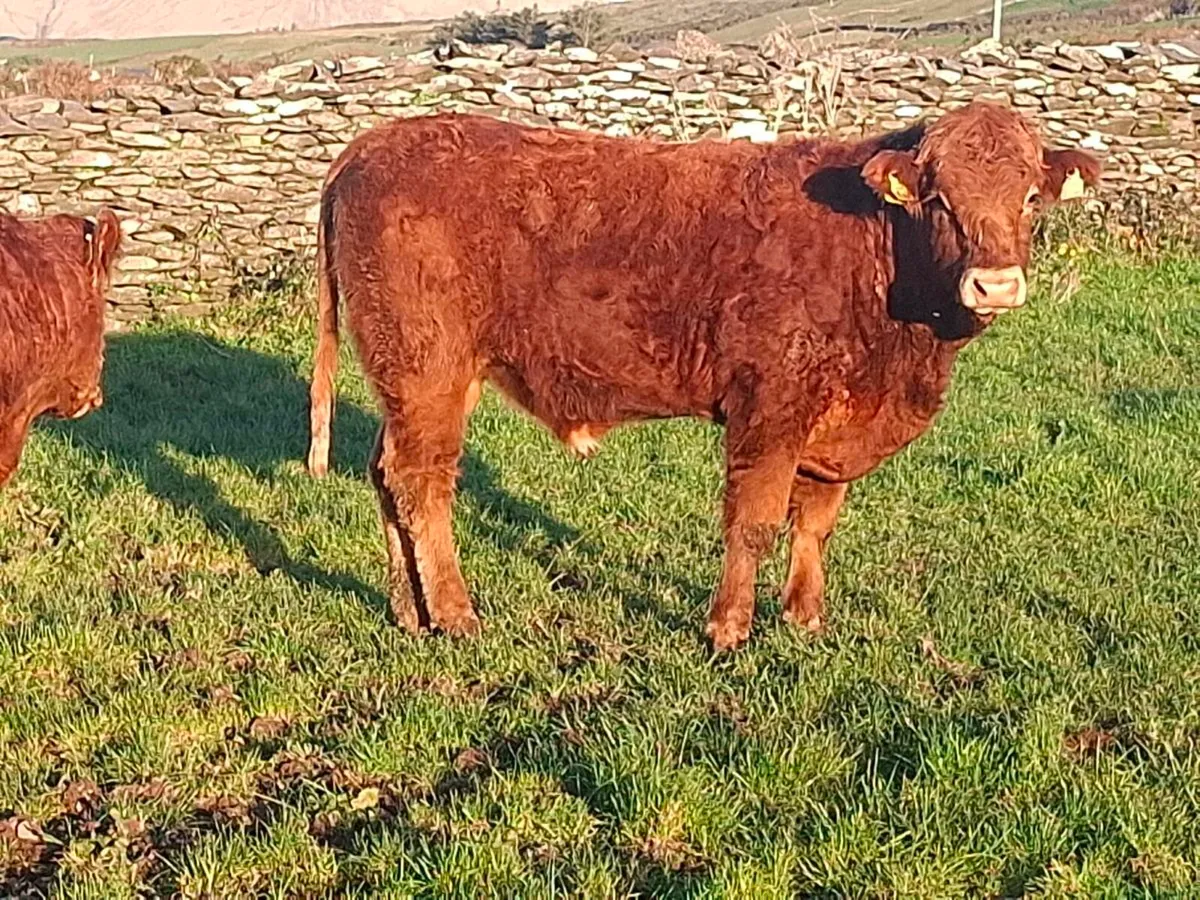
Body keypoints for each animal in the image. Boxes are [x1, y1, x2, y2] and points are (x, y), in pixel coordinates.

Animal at [305, 102, 1101, 650]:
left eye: (1031, 197)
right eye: (938, 198)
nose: (995, 285)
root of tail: (370, 146)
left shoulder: (835, 420)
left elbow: (815, 522)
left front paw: (805, 617)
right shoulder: (771, 406)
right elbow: (754, 522)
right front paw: (728, 629)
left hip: (416, 381)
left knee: (387, 474)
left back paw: (409, 612)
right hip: (429, 368)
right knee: (423, 483)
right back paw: (456, 614)